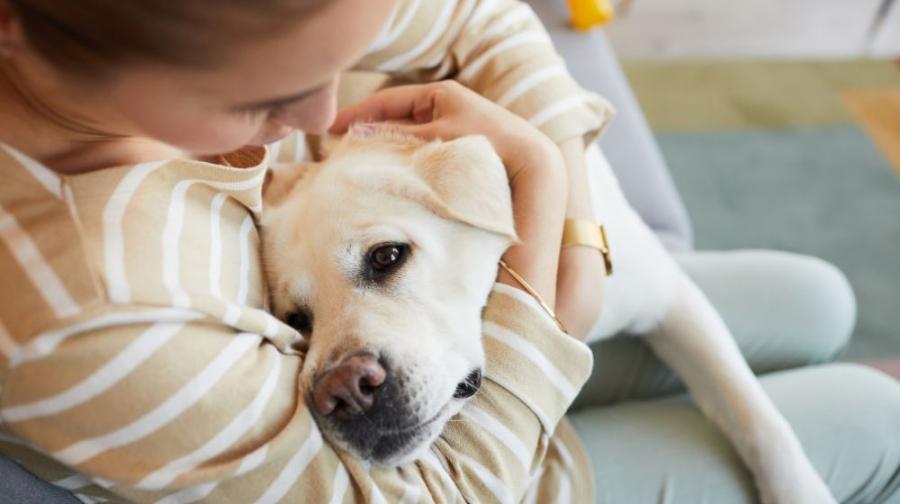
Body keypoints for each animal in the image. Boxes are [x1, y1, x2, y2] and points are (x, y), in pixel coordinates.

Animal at [262, 127, 836, 504]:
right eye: (296, 320)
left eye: (387, 256)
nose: (342, 391)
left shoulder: (672, 300)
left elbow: (753, 413)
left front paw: (800, 490)